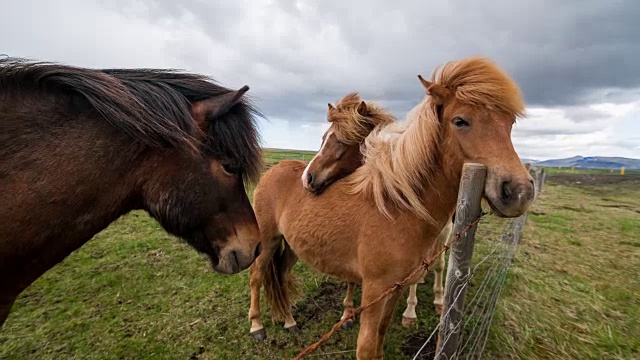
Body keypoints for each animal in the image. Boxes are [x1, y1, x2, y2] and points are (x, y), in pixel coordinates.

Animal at [302, 91, 456, 328]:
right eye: (323, 138)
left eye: (343, 141)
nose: (307, 178)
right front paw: (346, 314)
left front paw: (410, 312)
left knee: (439, 264)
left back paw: (438, 299)